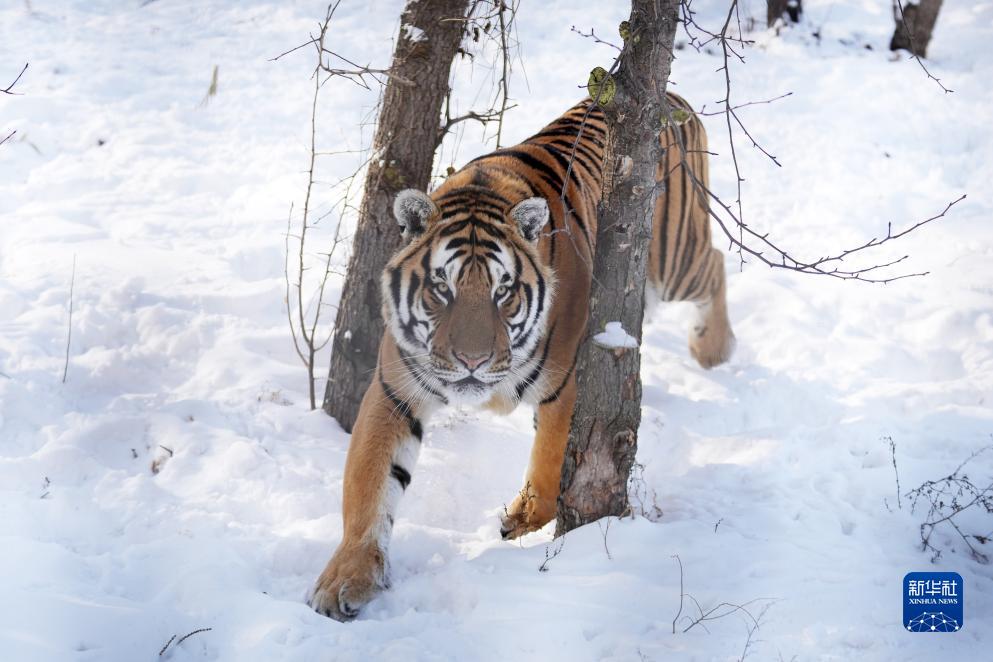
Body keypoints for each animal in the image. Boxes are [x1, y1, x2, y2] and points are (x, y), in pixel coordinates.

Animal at [306, 91, 732, 620]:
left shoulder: (569, 381)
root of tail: (676, 100)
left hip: (675, 262)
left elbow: (550, 466)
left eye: (503, 290)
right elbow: (368, 487)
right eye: (441, 288)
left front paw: (521, 519)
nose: (471, 361)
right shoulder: (395, 392)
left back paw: (713, 350)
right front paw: (346, 578)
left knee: (715, 263)